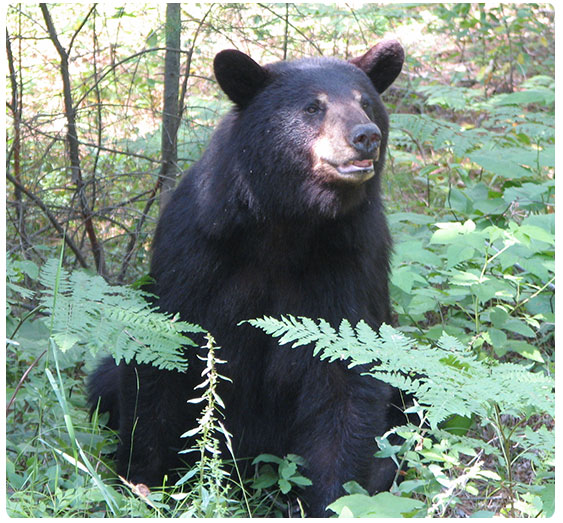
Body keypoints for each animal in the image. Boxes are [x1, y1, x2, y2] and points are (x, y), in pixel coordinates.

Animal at [89, 40, 406, 516]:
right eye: (313, 107)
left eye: (366, 102)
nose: (366, 135)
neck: (286, 223)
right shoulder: (196, 249)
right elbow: (165, 352)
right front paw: (145, 481)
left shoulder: (353, 258)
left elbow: (346, 374)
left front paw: (332, 499)